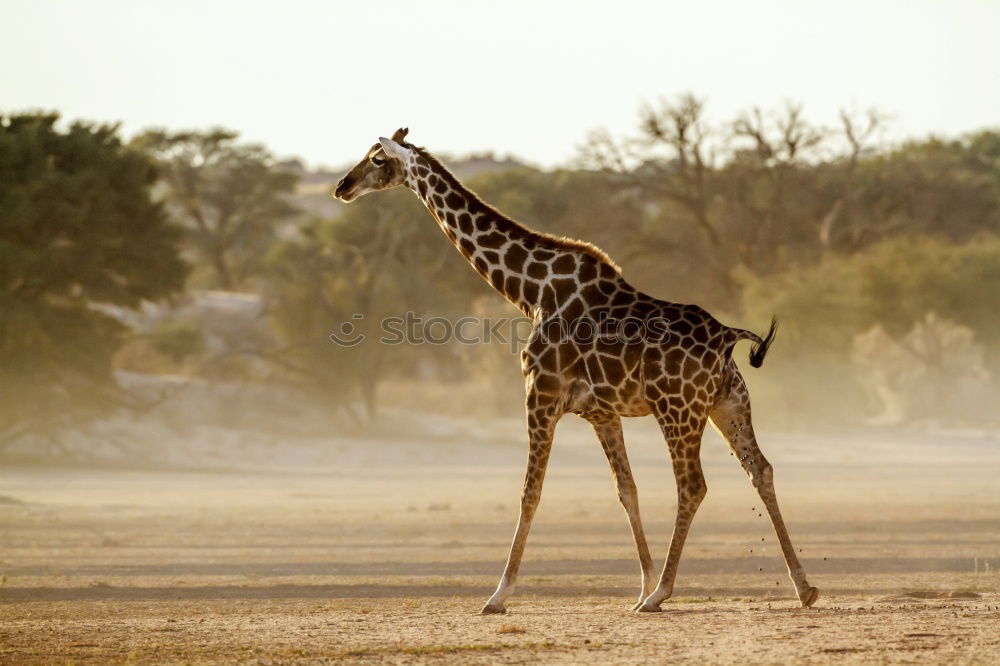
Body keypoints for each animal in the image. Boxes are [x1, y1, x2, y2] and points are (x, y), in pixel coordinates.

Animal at [336, 128, 820, 612]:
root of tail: (726, 338)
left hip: (678, 409)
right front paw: (640, 583)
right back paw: (803, 587)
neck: (532, 292)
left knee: (693, 486)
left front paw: (499, 594)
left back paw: (662, 593)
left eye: (376, 159)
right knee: (761, 470)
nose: (342, 187)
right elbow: (626, 491)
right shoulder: (600, 412)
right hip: (728, 404)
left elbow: (529, 493)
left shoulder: (540, 396)